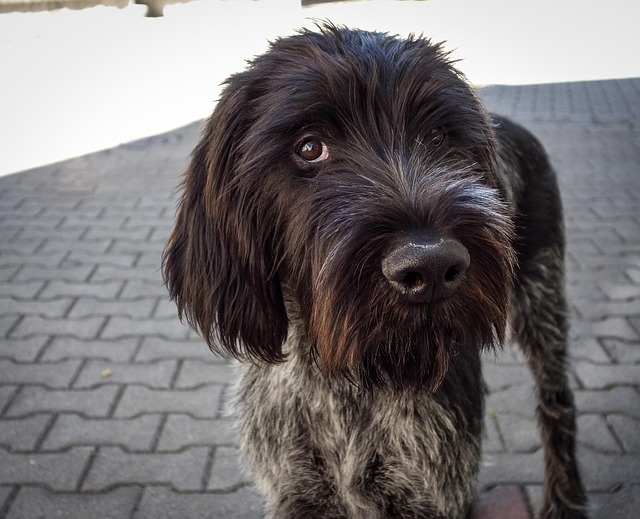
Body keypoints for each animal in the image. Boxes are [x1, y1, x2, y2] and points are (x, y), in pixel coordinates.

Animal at [162, 23, 588, 516]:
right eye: (310, 147)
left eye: (438, 137)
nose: (431, 265)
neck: (348, 380)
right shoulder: (296, 491)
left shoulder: (435, 491)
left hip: (543, 302)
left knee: (557, 402)